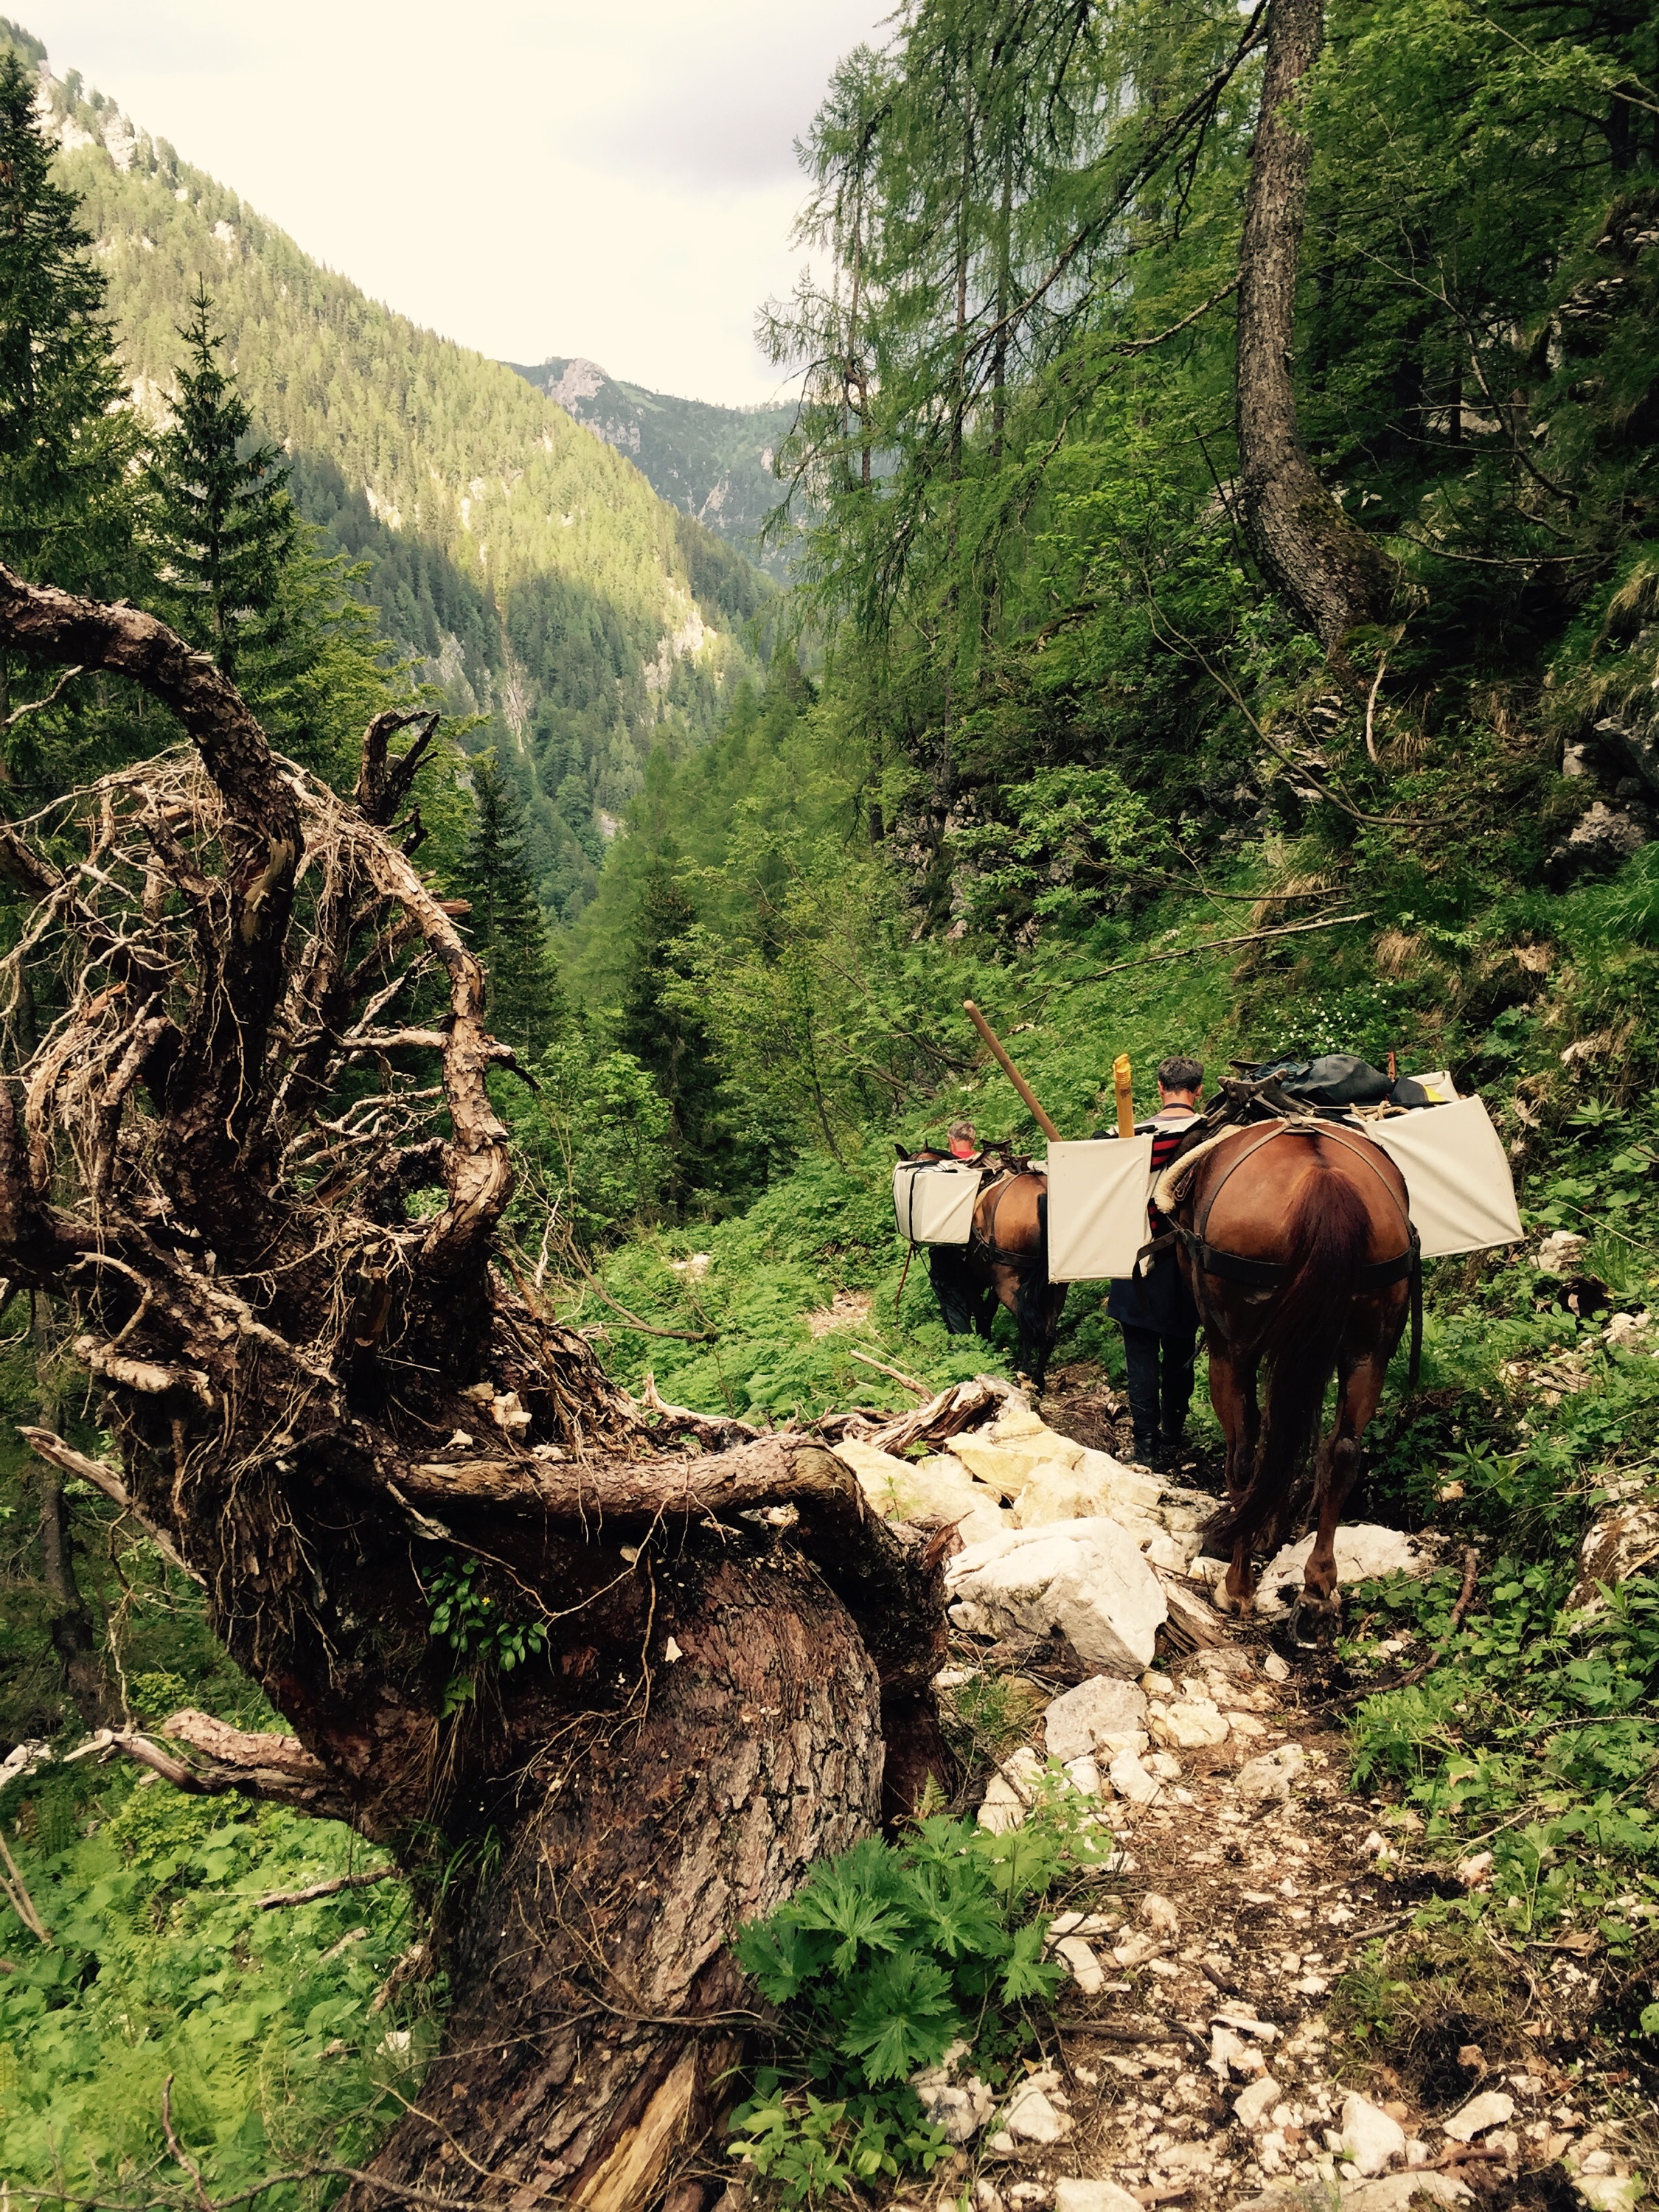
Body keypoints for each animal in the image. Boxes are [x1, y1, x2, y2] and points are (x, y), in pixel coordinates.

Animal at [902, 1150, 1071, 1389]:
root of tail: (1042, 1193)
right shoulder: (991, 1282)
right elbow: (988, 1311)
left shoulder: (969, 1278)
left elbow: (977, 1311)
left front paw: (981, 1346)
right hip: (1056, 1284)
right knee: (1049, 1333)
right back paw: (1039, 1381)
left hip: (1008, 1284)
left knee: (1028, 1326)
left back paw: (1026, 1376)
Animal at [1159, 1133, 1425, 1637]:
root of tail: (1324, 1183)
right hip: (1369, 1346)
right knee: (1341, 1451)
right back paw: (1317, 1590)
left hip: (1231, 1348)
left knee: (1244, 1452)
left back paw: (1237, 1585)